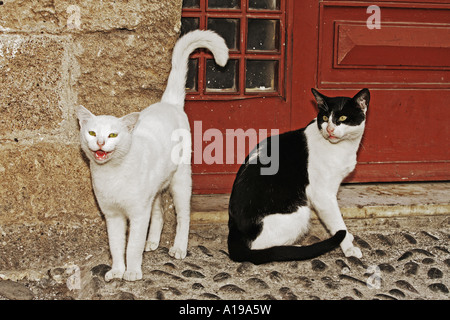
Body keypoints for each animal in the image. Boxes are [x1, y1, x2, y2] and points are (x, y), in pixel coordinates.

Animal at [77, 30, 229, 280]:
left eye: (112, 134)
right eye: (91, 132)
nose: (100, 142)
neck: (111, 175)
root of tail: (169, 103)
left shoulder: (138, 213)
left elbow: (132, 246)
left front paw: (132, 272)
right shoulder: (113, 216)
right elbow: (116, 246)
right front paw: (117, 271)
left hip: (181, 181)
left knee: (183, 216)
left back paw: (178, 248)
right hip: (157, 188)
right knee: (159, 213)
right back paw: (153, 242)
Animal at [229, 88, 370, 264]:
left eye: (343, 118)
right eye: (325, 118)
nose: (329, 129)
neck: (343, 147)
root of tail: (234, 227)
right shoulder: (322, 196)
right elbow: (338, 222)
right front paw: (348, 247)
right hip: (300, 213)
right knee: (258, 248)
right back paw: (295, 248)